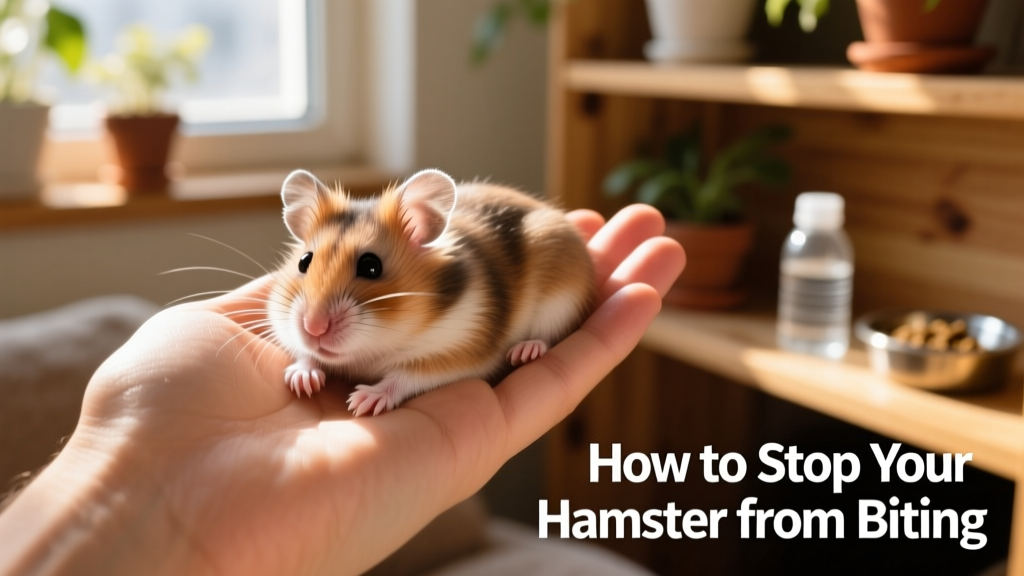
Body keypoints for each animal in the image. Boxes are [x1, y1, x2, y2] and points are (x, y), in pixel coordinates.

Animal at [267, 168, 594, 416]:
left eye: (371, 267)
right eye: (303, 261)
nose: (313, 328)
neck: (375, 347)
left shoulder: (459, 351)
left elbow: (406, 376)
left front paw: (362, 401)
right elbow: (304, 353)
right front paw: (301, 380)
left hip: (563, 297)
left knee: (549, 334)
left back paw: (524, 352)